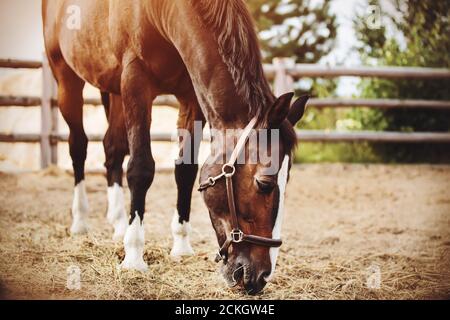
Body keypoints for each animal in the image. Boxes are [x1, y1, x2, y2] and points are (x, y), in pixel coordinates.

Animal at [42, 0, 308, 296]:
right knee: (79, 147)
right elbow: (141, 169)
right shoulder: (135, 80)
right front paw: (133, 256)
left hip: (114, 90)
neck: (161, 13)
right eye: (264, 183)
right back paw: (80, 221)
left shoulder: (190, 94)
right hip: (66, 77)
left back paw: (119, 223)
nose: (261, 276)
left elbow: (185, 171)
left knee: (113, 150)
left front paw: (180, 245)